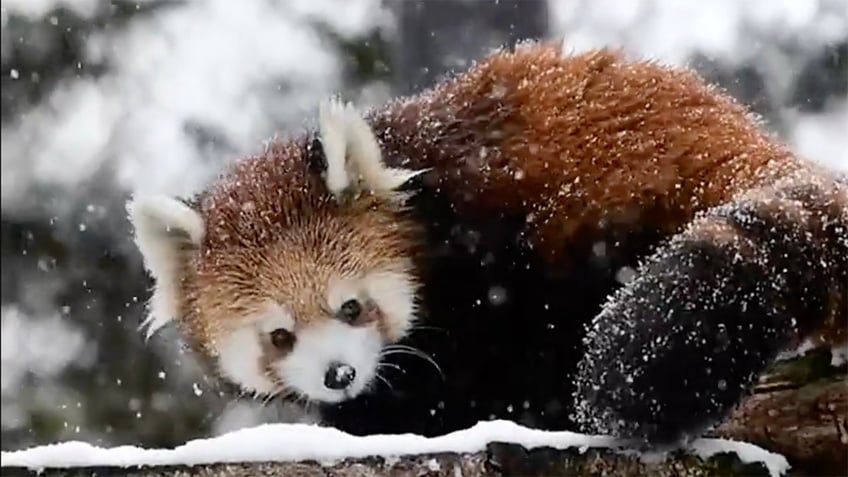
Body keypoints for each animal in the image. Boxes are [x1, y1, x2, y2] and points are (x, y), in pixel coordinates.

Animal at [127, 41, 848, 446]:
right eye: (279, 336)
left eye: (351, 307)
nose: (339, 374)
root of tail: (741, 133)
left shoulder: (483, 263)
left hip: (600, 220)